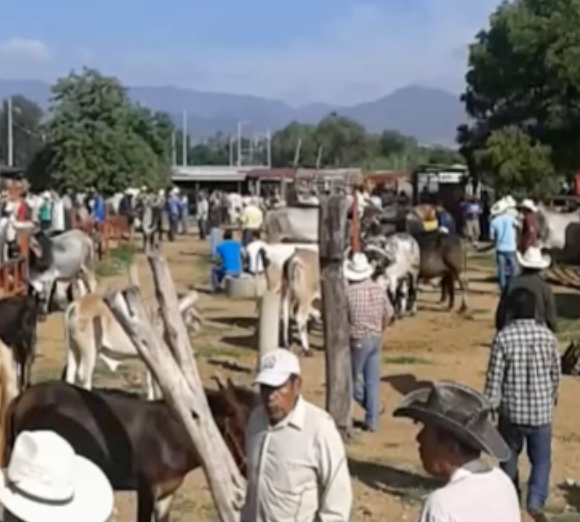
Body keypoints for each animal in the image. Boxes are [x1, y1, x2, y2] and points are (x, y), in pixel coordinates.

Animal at [1, 378, 256, 520]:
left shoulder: (168, 493)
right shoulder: (146, 489)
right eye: (238, 429)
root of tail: (21, 399)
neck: (173, 437)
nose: (249, 470)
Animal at [62, 290, 203, 396]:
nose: (197, 325)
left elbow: (151, 381)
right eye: (189, 313)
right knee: (84, 374)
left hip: (72, 348)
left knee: (71, 371)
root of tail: (77, 304)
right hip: (89, 351)